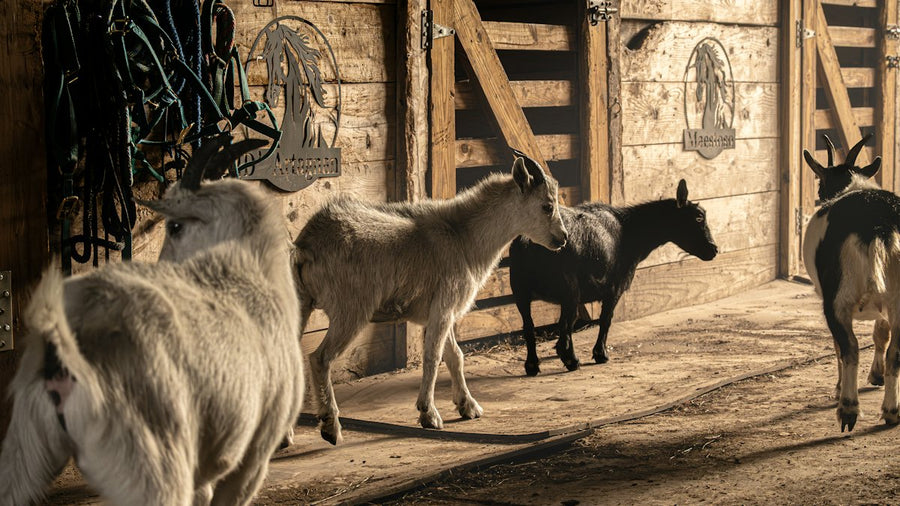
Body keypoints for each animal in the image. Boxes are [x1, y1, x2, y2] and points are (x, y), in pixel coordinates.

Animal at [294, 151, 568, 444]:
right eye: (547, 206)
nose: (563, 238)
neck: (464, 237)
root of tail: (307, 245)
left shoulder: (440, 312)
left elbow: (455, 355)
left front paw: (468, 406)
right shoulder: (445, 307)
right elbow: (433, 357)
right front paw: (429, 414)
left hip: (300, 303)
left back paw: (287, 435)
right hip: (351, 309)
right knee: (320, 358)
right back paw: (330, 427)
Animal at [509, 179, 718, 376]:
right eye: (698, 217)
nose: (714, 249)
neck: (629, 230)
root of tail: (527, 242)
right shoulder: (615, 287)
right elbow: (606, 319)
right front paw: (600, 354)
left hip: (520, 289)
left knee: (529, 327)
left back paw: (532, 366)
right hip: (569, 289)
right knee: (564, 327)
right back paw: (571, 361)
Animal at [801, 133, 898, 431]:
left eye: (820, 184)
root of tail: (877, 226)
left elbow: (838, 346)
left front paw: (838, 388)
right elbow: (881, 333)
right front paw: (876, 375)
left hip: (837, 297)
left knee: (849, 348)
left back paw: (848, 409)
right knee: (895, 351)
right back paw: (891, 411)